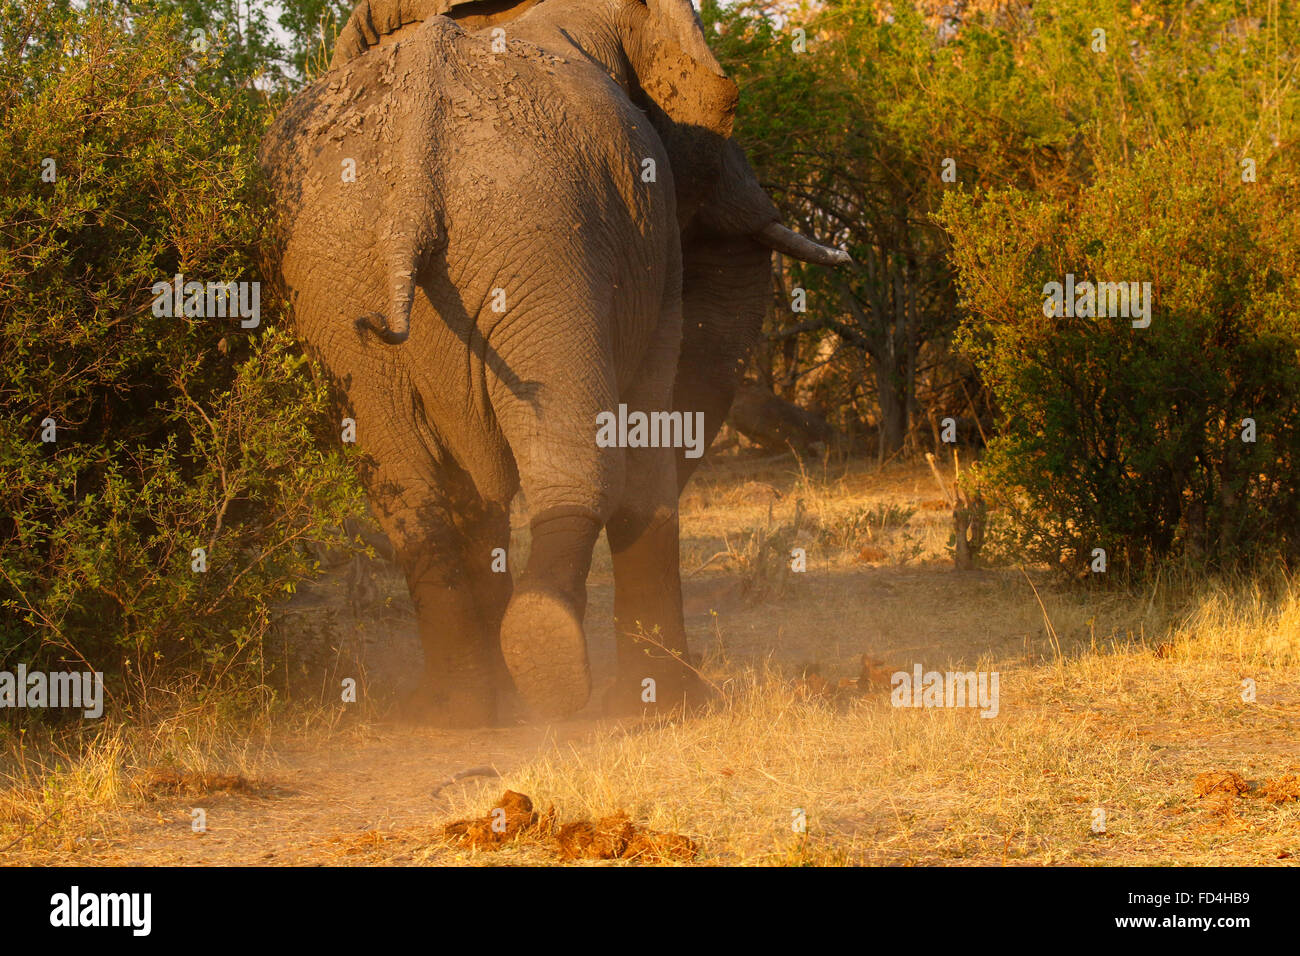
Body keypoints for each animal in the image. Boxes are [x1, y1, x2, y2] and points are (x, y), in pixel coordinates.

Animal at [259, 0, 848, 726]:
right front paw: (670, 707)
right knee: (573, 461)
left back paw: (454, 711)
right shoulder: (645, 223)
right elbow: (644, 433)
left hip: (334, 274)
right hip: (539, 239)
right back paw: (546, 663)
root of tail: (412, 167)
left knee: (409, 489)